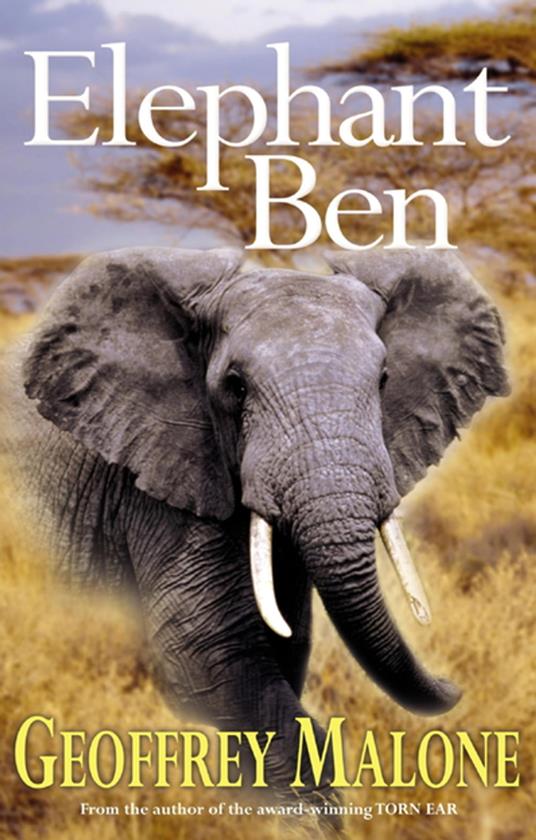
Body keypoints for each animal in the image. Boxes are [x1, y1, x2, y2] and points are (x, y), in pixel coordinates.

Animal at [2, 246, 508, 800]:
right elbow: (208, 653)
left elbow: (284, 648)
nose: (456, 686)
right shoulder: (161, 479)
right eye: (236, 386)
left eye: (383, 380)